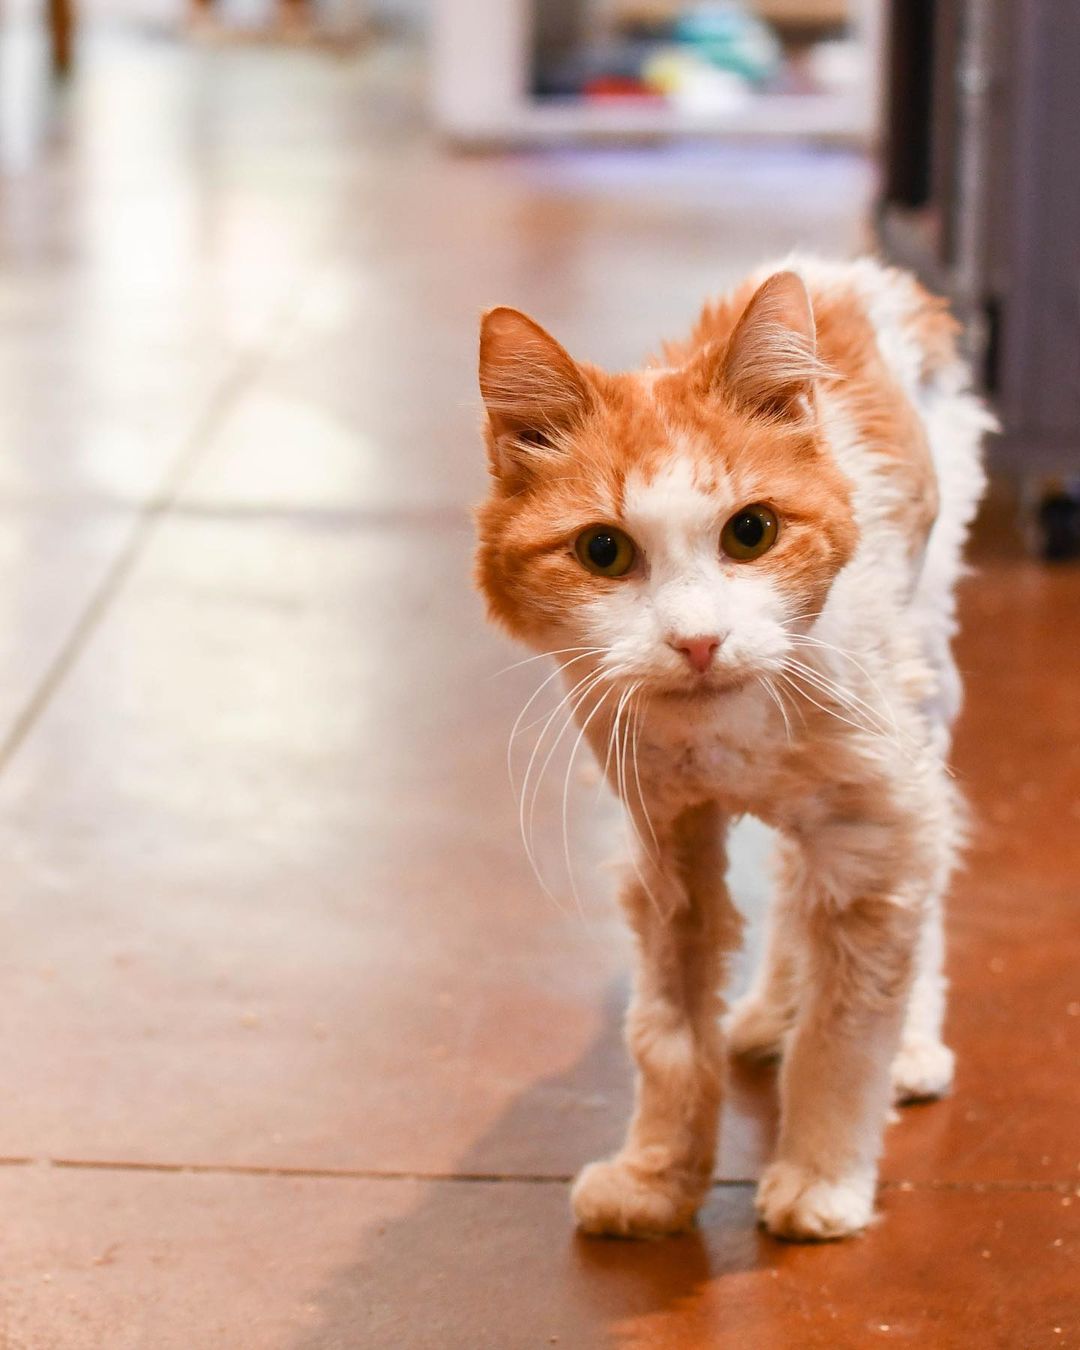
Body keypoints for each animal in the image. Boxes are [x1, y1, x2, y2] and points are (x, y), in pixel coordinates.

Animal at [469, 255, 988, 1242]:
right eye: (604, 551)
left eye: (752, 532)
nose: (699, 642)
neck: (729, 736)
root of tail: (861, 269)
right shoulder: (668, 846)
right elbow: (668, 1036)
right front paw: (658, 1181)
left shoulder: (882, 827)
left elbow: (844, 1029)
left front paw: (822, 1180)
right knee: (790, 888)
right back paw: (768, 1010)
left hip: (928, 696)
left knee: (923, 901)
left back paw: (909, 1048)